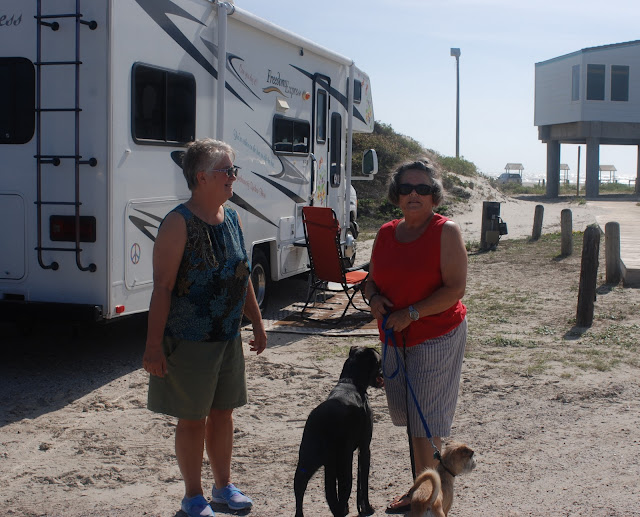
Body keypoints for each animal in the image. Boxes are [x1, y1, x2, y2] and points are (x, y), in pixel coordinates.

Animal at [294, 346, 383, 517]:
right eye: (379, 361)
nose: (384, 372)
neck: (350, 381)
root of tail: (324, 420)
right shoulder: (364, 448)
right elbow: (363, 482)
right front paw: (367, 509)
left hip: (309, 459)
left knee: (301, 487)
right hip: (343, 461)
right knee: (343, 491)